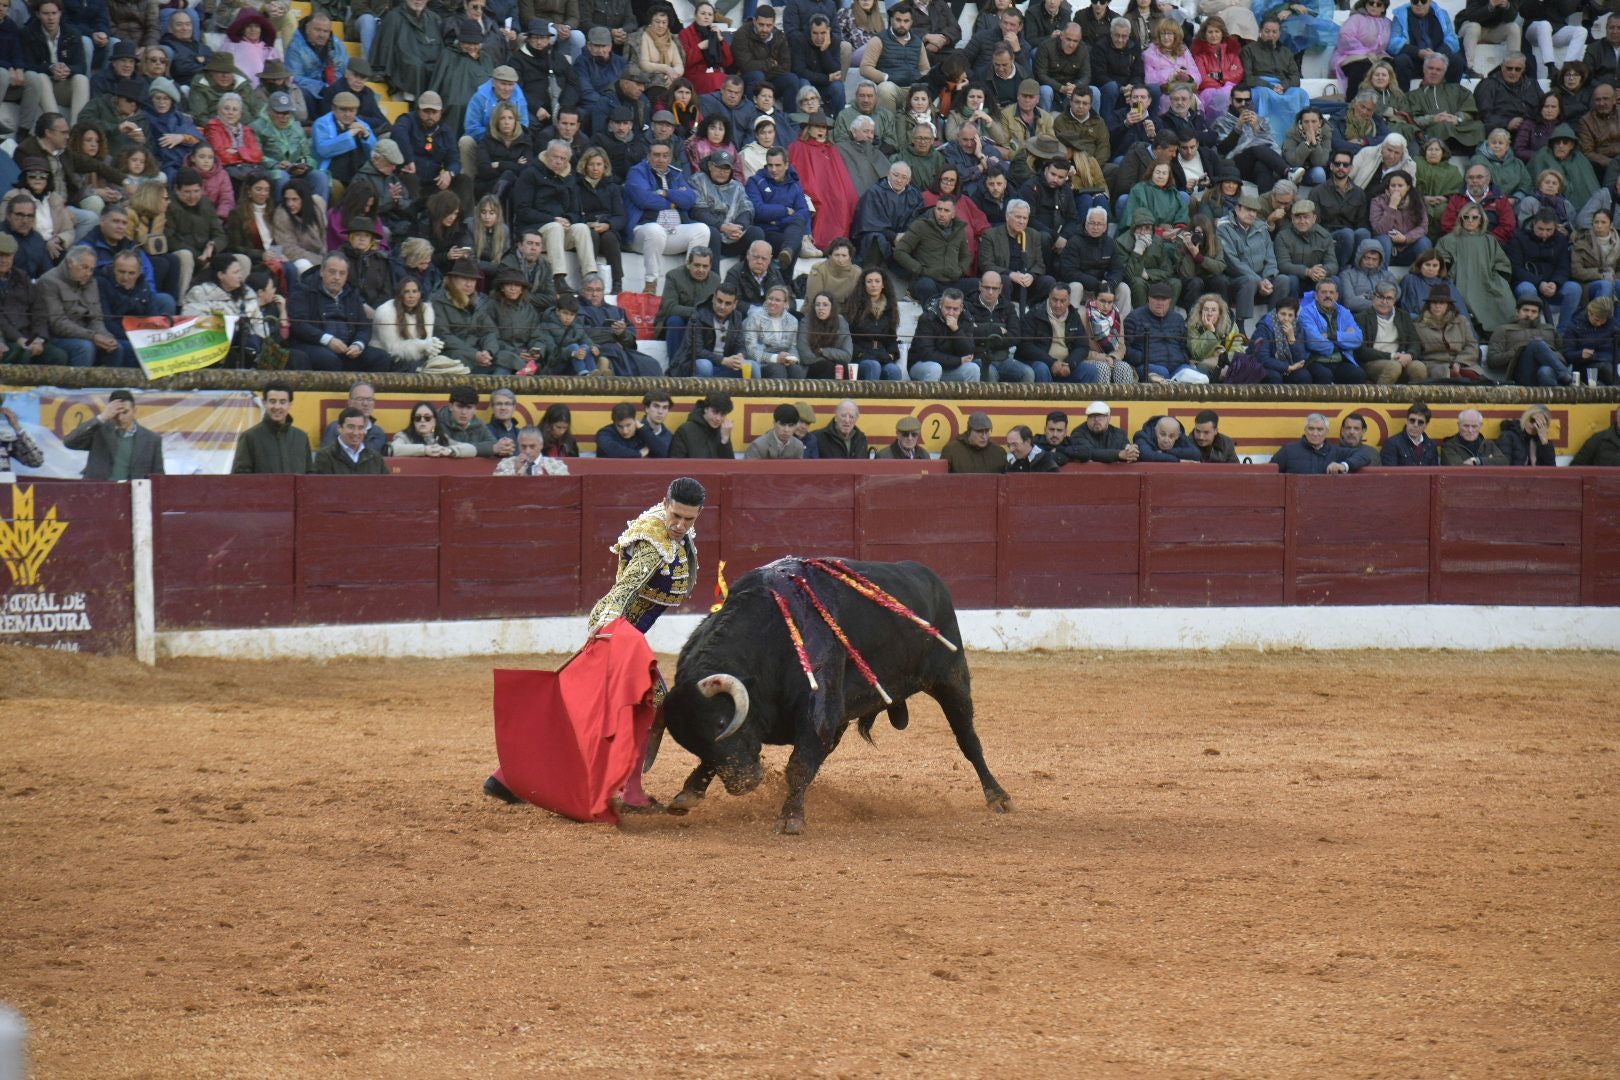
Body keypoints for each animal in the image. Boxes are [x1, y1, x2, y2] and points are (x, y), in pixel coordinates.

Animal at [657, 563, 1010, 835]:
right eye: (691, 742)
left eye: (722, 721)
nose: (743, 784)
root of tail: (931, 577)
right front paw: (687, 794)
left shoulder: (817, 714)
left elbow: (798, 765)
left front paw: (791, 819)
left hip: (951, 678)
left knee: (968, 739)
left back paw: (998, 796)